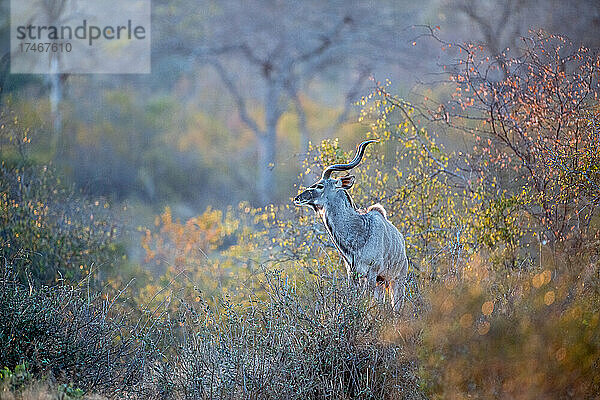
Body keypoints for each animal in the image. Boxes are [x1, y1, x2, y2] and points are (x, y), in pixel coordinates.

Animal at [294, 139, 408, 310]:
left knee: (397, 307)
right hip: (382, 282)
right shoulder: (352, 274)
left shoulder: (371, 273)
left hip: (396, 281)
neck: (359, 232)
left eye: (320, 185)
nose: (297, 198)